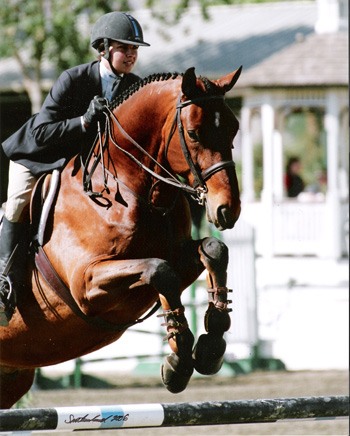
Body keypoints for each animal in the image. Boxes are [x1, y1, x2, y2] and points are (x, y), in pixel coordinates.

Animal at [0, 66, 241, 408]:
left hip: (11, 377)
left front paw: (209, 348)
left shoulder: (178, 257)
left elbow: (213, 250)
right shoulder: (86, 285)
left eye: (234, 129)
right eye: (194, 133)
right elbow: (159, 271)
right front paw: (179, 362)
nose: (227, 209)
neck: (128, 188)